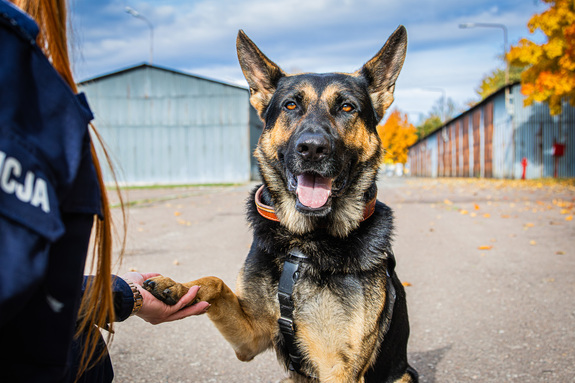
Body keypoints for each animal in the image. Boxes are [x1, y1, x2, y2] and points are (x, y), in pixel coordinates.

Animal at [144, 25, 418, 382]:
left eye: (347, 108)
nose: (312, 148)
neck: (303, 244)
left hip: (404, 374)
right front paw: (176, 286)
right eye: (290, 106)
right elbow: (214, 282)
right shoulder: (251, 338)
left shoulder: (340, 369)